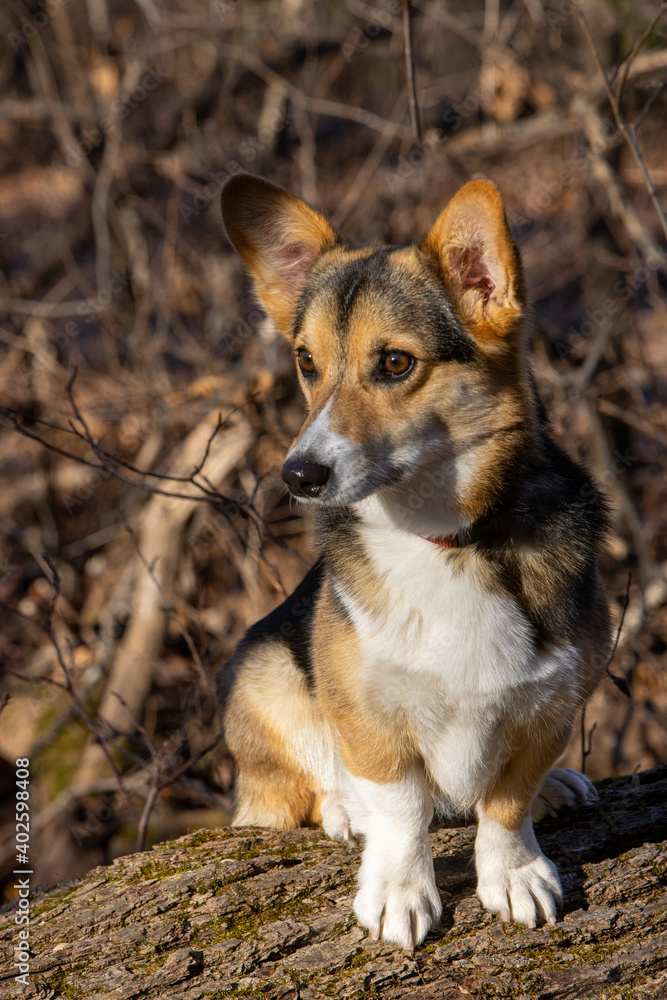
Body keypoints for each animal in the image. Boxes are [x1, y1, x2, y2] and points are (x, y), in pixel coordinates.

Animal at [217, 172, 612, 944]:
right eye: (306, 362)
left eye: (395, 363)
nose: (297, 476)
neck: (446, 541)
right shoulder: (368, 714)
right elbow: (400, 807)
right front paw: (400, 893)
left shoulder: (554, 702)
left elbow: (505, 801)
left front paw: (514, 873)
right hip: (266, 673)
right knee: (307, 788)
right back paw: (343, 810)